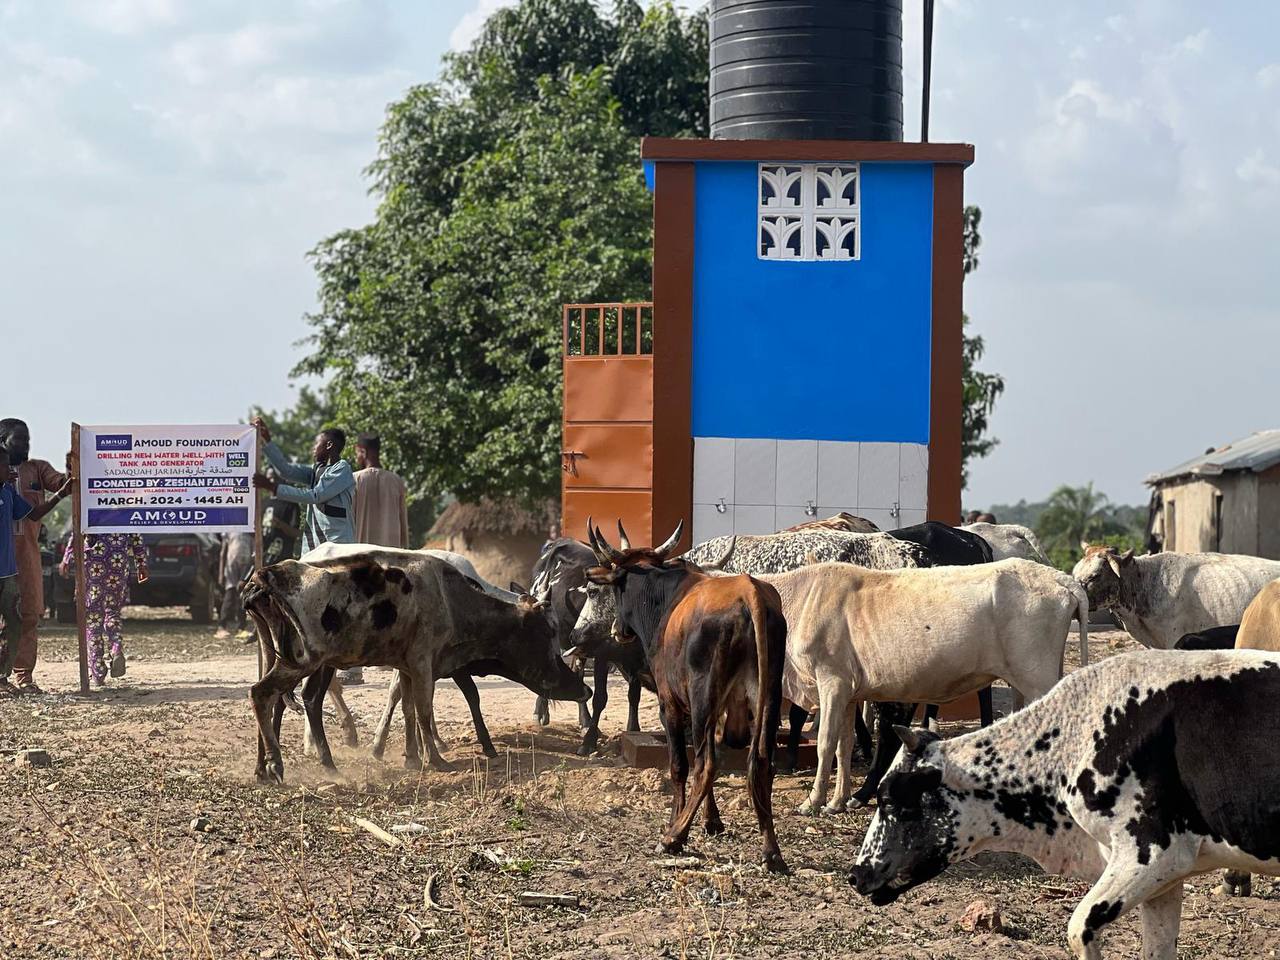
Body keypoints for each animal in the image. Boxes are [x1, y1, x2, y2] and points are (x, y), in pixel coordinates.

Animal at [241, 552, 586, 783]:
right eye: (548, 631)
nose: (584, 688)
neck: (451, 599)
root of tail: (265, 577)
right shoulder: (422, 662)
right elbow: (424, 710)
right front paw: (435, 758)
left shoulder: (406, 665)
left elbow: (407, 708)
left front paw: (412, 756)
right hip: (303, 660)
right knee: (262, 694)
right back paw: (277, 764)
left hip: (278, 655)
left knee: (280, 700)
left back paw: (265, 767)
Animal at [583, 522, 788, 875]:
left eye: (618, 588)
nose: (617, 630)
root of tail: (750, 594)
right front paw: (711, 821)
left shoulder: (673, 706)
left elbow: (679, 765)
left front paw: (675, 822)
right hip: (767, 698)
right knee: (761, 763)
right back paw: (772, 851)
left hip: (704, 695)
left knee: (706, 765)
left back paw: (674, 838)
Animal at [757, 560, 1090, 814]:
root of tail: (1059, 577)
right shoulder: (847, 693)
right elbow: (844, 744)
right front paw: (838, 801)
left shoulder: (831, 681)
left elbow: (826, 743)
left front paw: (812, 802)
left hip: (1037, 677)